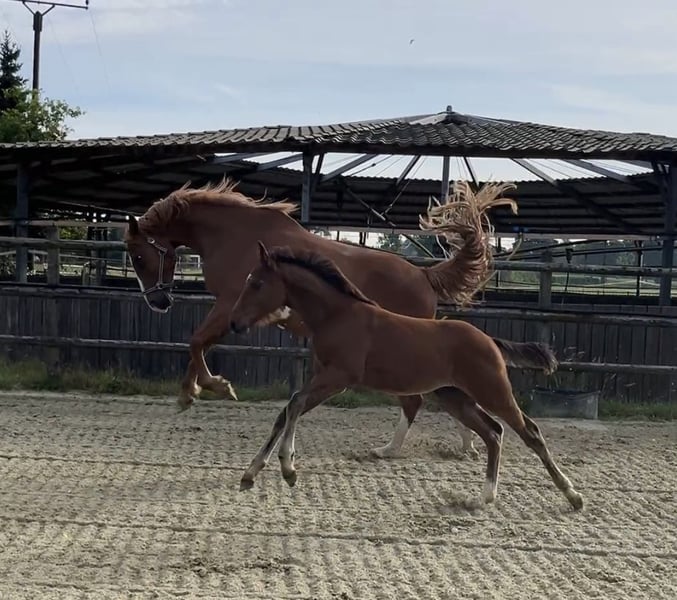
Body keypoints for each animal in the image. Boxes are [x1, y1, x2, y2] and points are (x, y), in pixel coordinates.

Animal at [124, 178, 555, 459]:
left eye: (140, 255)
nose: (158, 301)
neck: (234, 236)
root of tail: (425, 276)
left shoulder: (230, 304)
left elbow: (196, 340)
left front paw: (210, 388)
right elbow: (197, 343)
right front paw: (192, 392)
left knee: (420, 400)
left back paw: (399, 448)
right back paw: (463, 446)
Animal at [230, 242, 583, 511]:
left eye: (257, 283)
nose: (235, 323)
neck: (338, 315)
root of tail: (490, 341)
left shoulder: (338, 378)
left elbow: (294, 403)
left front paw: (288, 468)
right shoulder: (323, 376)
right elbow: (287, 409)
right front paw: (250, 473)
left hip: (492, 391)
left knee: (529, 432)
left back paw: (572, 495)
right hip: (456, 398)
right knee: (493, 433)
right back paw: (483, 497)